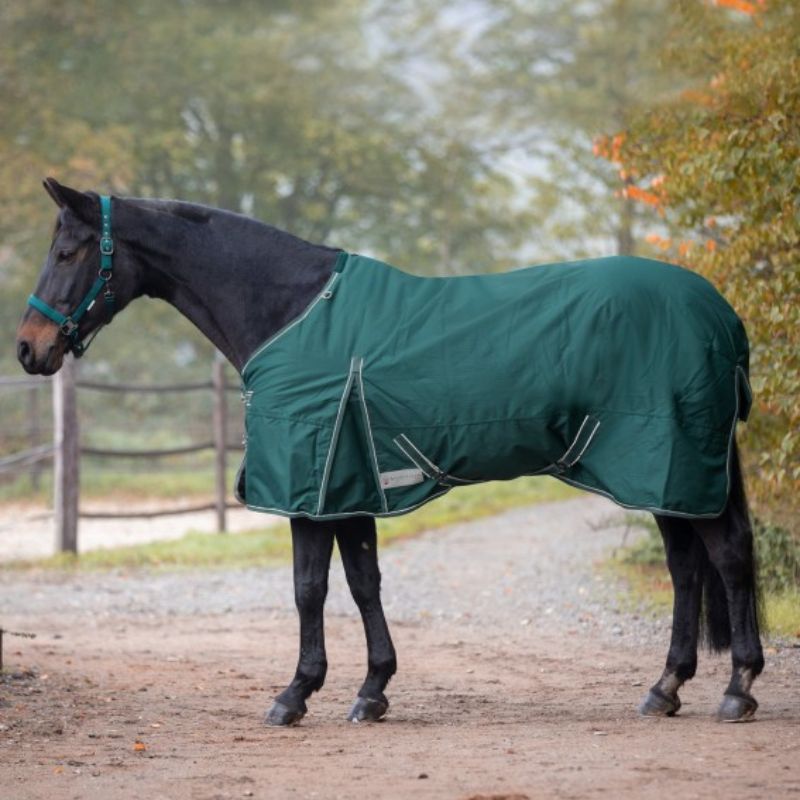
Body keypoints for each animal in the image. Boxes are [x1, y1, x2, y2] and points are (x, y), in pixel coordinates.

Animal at [16, 178, 764, 724]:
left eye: (68, 252)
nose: (29, 348)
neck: (291, 311)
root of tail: (722, 313)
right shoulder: (346, 487)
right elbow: (362, 582)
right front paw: (371, 690)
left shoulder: (312, 487)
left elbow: (309, 588)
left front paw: (295, 694)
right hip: (665, 476)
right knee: (687, 568)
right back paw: (666, 688)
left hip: (669, 463)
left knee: (725, 557)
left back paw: (738, 688)